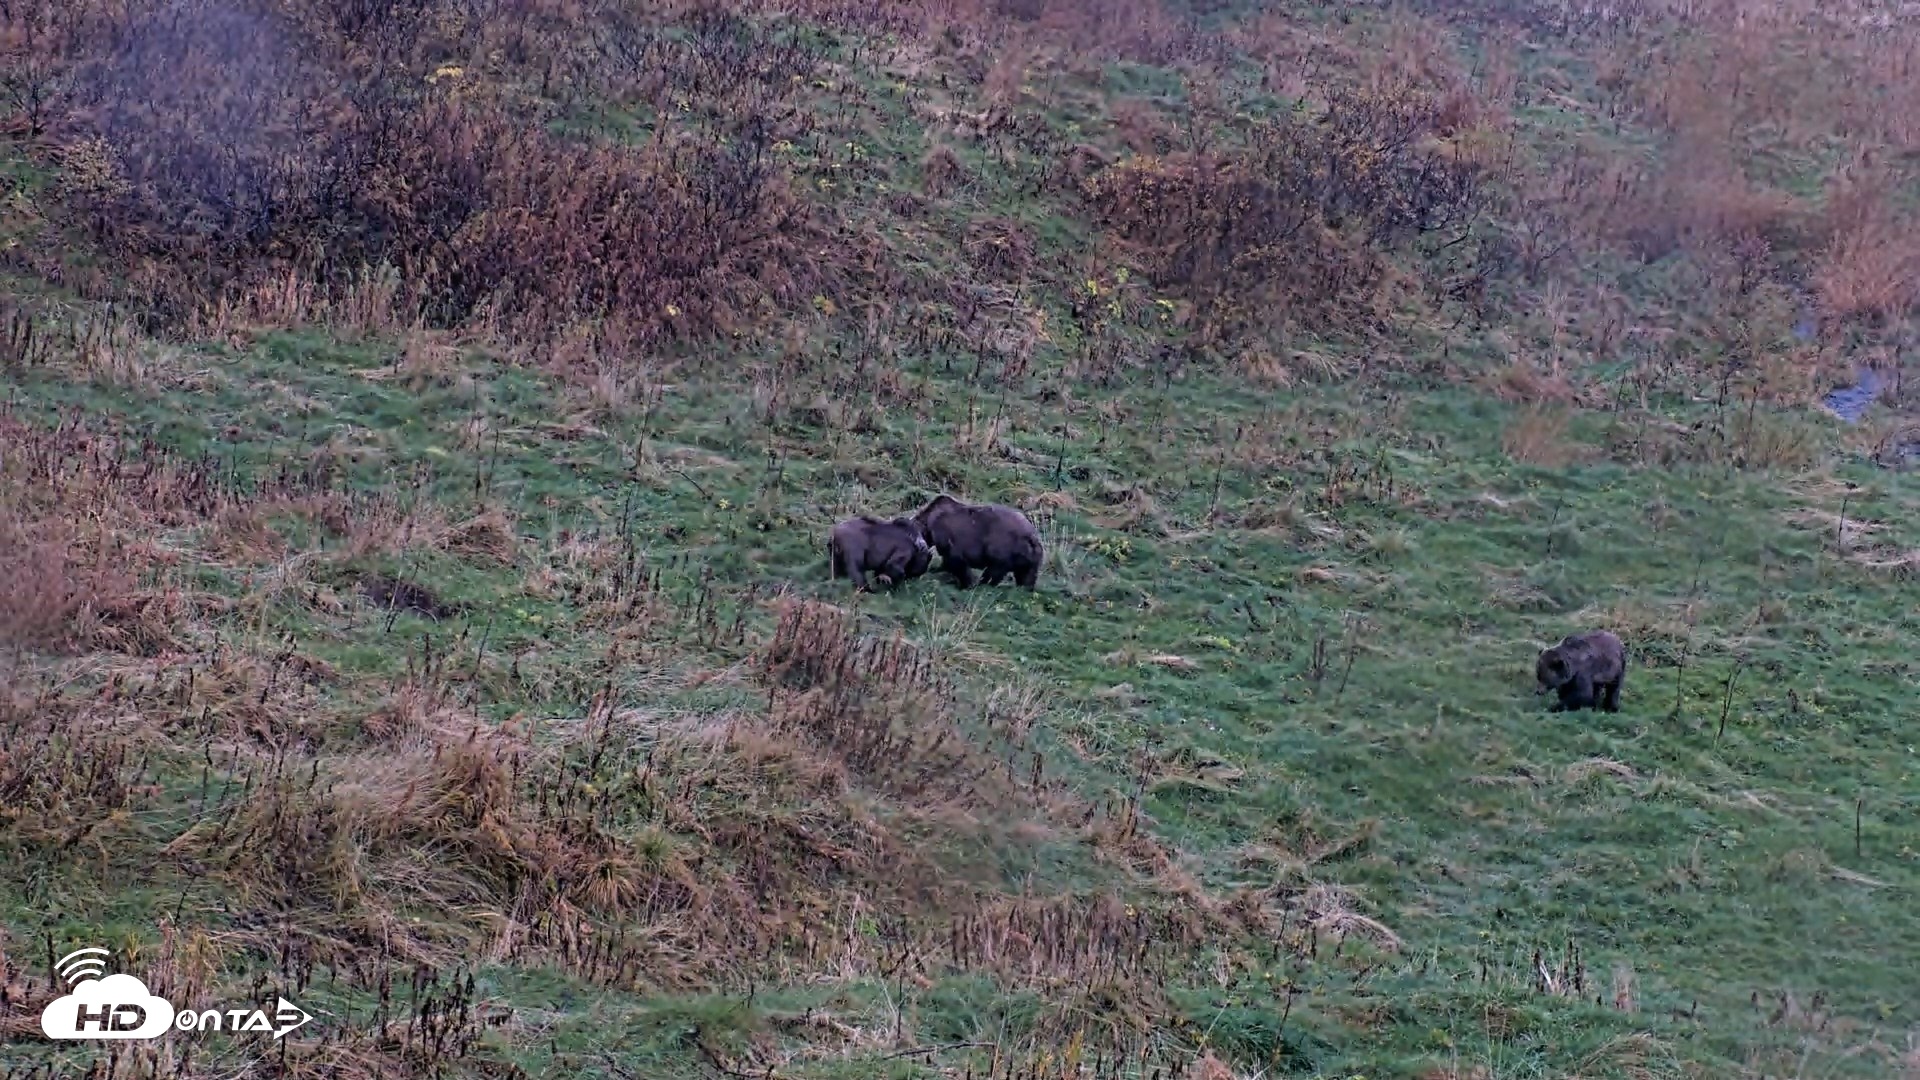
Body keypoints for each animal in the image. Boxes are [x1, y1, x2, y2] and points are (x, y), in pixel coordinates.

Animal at [911, 493, 1044, 590]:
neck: (929, 522)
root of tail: (1032, 536)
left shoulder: (947, 534)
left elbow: (956, 561)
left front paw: (966, 583)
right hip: (1030, 558)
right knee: (1026, 574)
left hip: (1003, 546)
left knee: (995, 570)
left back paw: (984, 583)